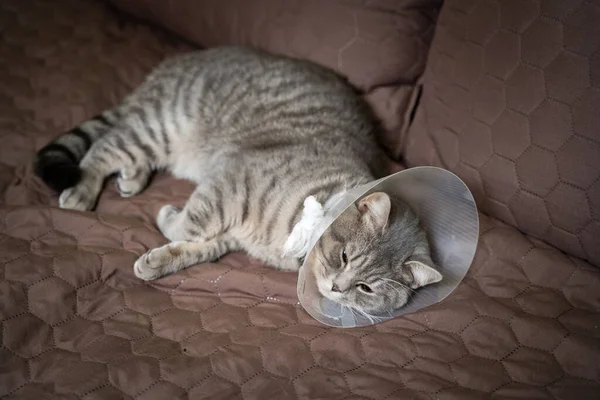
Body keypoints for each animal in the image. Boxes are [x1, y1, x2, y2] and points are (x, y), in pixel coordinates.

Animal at [36, 47, 440, 314]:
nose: (337, 288)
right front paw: (169, 221)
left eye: (366, 288)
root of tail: (179, 61)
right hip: (159, 126)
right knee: (103, 147)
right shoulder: (227, 183)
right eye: (344, 256)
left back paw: (132, 177)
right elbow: (193, 222)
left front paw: (161, 259)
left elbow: (199, 247)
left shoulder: (231, 232)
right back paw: (83, 189)